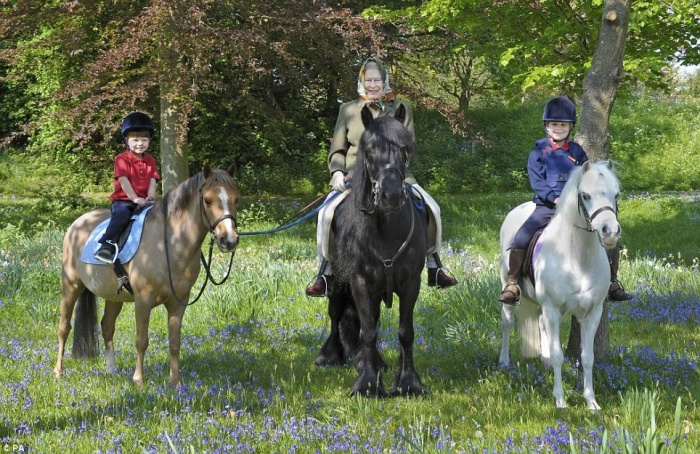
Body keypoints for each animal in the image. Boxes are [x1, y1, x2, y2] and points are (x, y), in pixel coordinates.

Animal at [316, 104, 426, 396]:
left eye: (404, 148)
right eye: (371, 150)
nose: (392, 195)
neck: (386, 228)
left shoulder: (411, 283)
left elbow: (404, 332)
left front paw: (408, 382)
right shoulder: (360, 281)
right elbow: (366, 331)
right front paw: (366, 383)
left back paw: (376, 363)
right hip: (338, 282)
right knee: (336, 314)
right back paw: (331, 355)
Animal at [500, 161, 620, 410]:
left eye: (616, 194)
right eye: (585, 195)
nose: (611, 232)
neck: (577, 256)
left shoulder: (593, 313)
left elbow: (588, 358)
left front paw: (591, 401)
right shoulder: (553, 309)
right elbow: (558, 355)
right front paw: (560, 400)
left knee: (540, 323)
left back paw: (543, 360)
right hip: (508, 287)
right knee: (506, 322)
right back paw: (504, 361)